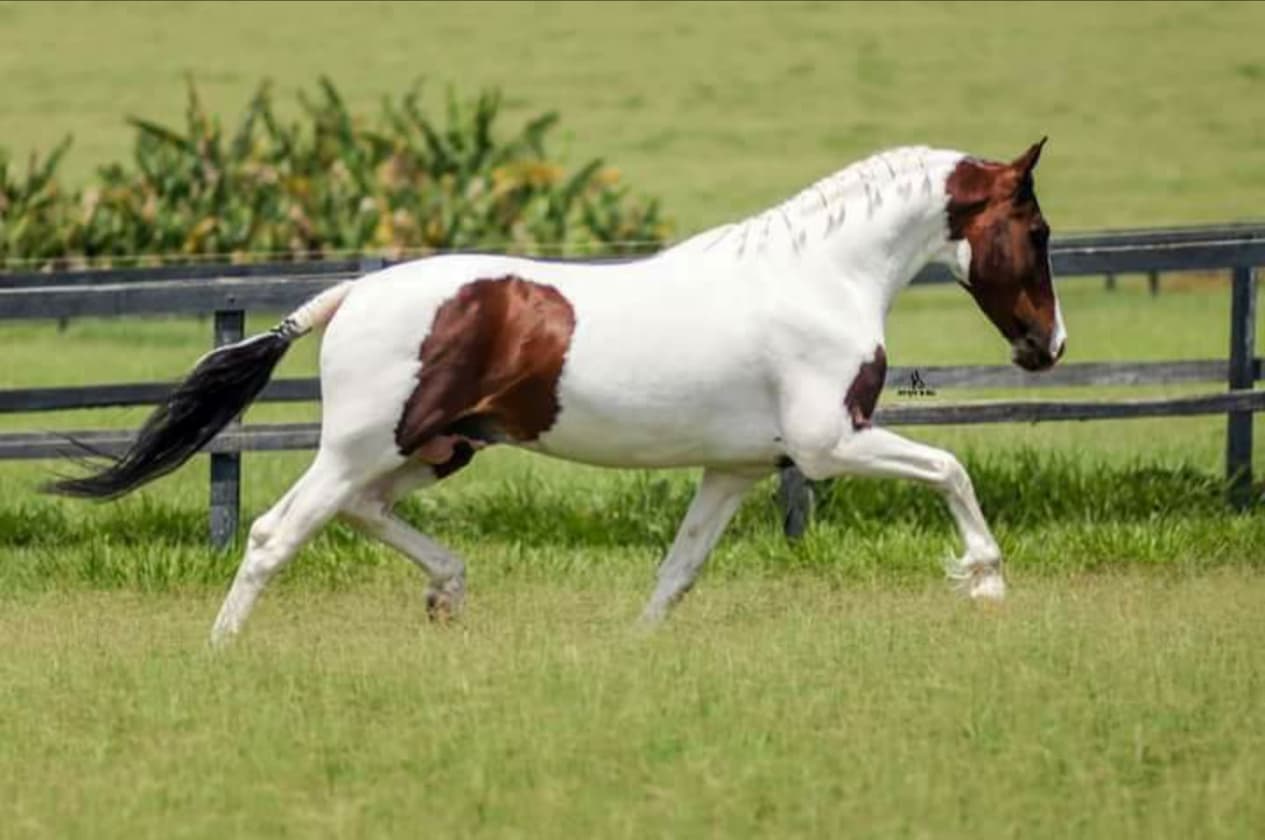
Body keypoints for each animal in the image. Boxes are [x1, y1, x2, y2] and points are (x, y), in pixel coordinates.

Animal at [44, 141, 1062, 645]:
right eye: (1037, 229)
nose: (1046, 346)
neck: (819, 277)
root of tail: (351, 294)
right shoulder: (827, 444)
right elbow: (950, 467)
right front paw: (986, 585)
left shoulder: (737, 469)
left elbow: (678, 570)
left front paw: (634, 651)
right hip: (364, 446)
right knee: (276, 532)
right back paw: (221, 651)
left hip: (438, 449)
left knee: (366, 514)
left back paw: (447, 595)